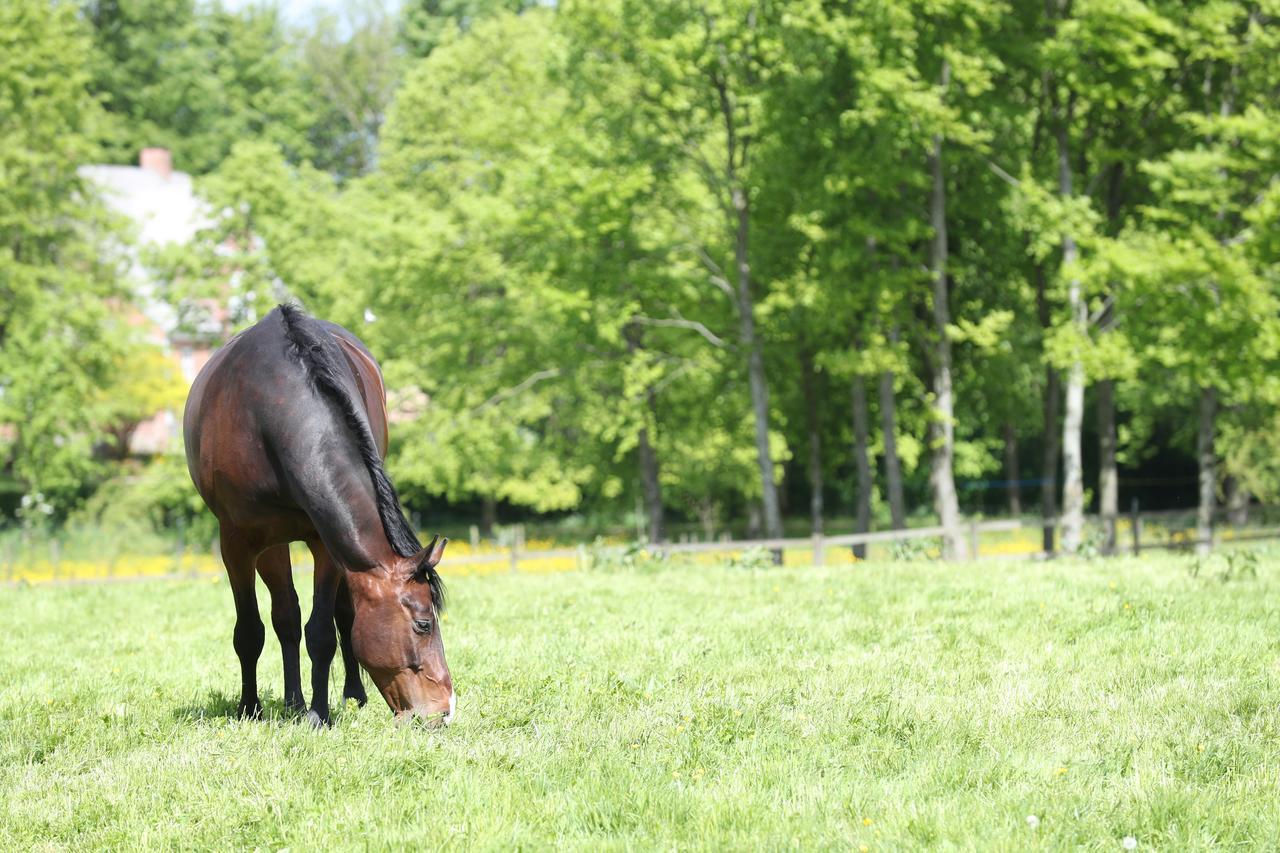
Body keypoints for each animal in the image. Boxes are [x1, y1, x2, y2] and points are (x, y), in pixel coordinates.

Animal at [184, 303, 455, 722]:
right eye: (424, 624)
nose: (445, 709)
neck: (270, 413)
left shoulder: (325, 541)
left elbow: (323, 631)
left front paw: (319, 714)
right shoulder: (237, 542)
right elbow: (250, 631)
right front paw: (250, 707)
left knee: (337, 614)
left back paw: (348, 694)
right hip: (271, 542)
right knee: (285, 616)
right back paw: (292, 701)